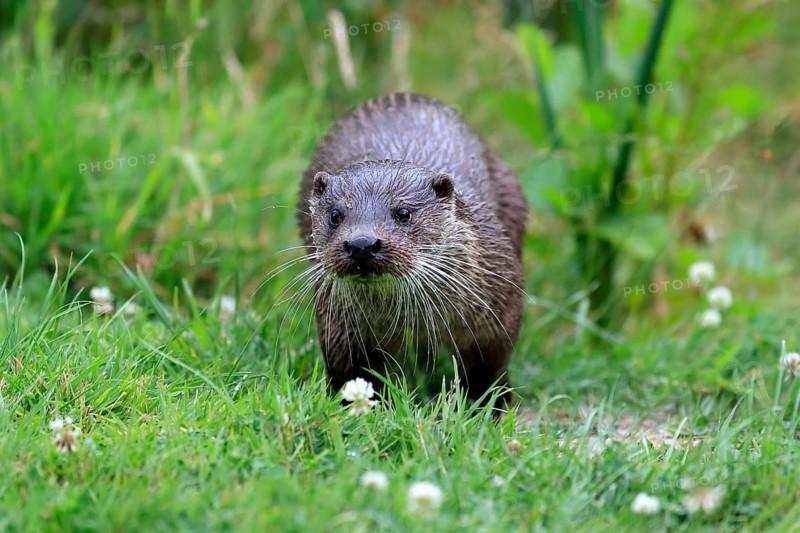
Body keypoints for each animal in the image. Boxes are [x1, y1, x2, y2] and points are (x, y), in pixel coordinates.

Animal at [296, 93, 527, 407]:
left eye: (404, 213)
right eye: (335, 215)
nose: (362, 244)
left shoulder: (500, 305)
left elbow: (489, 369)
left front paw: (488, 407)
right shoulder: (340, 327)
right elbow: (354, 373)